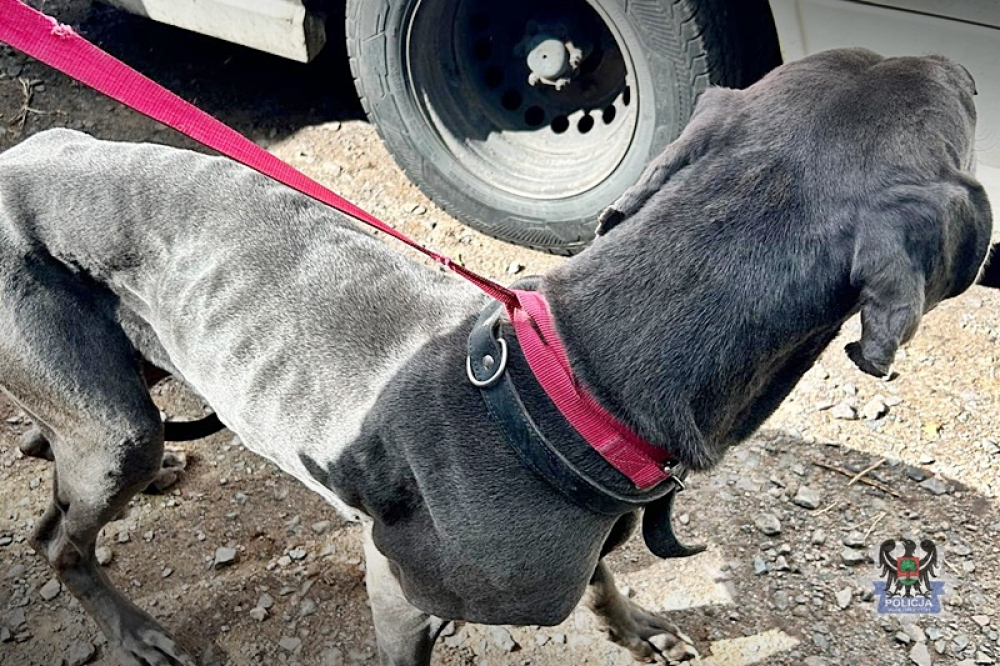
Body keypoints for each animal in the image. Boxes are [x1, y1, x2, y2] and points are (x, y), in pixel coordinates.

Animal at [0, 48, 988, 664]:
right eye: (967, 106)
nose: (964, 64)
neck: (586, 382)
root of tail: (27, 147)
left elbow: (603, 584)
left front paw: (639, 628)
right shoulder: (396, 584)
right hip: (114, 429)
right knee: (59, 538)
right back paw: (128, 626)